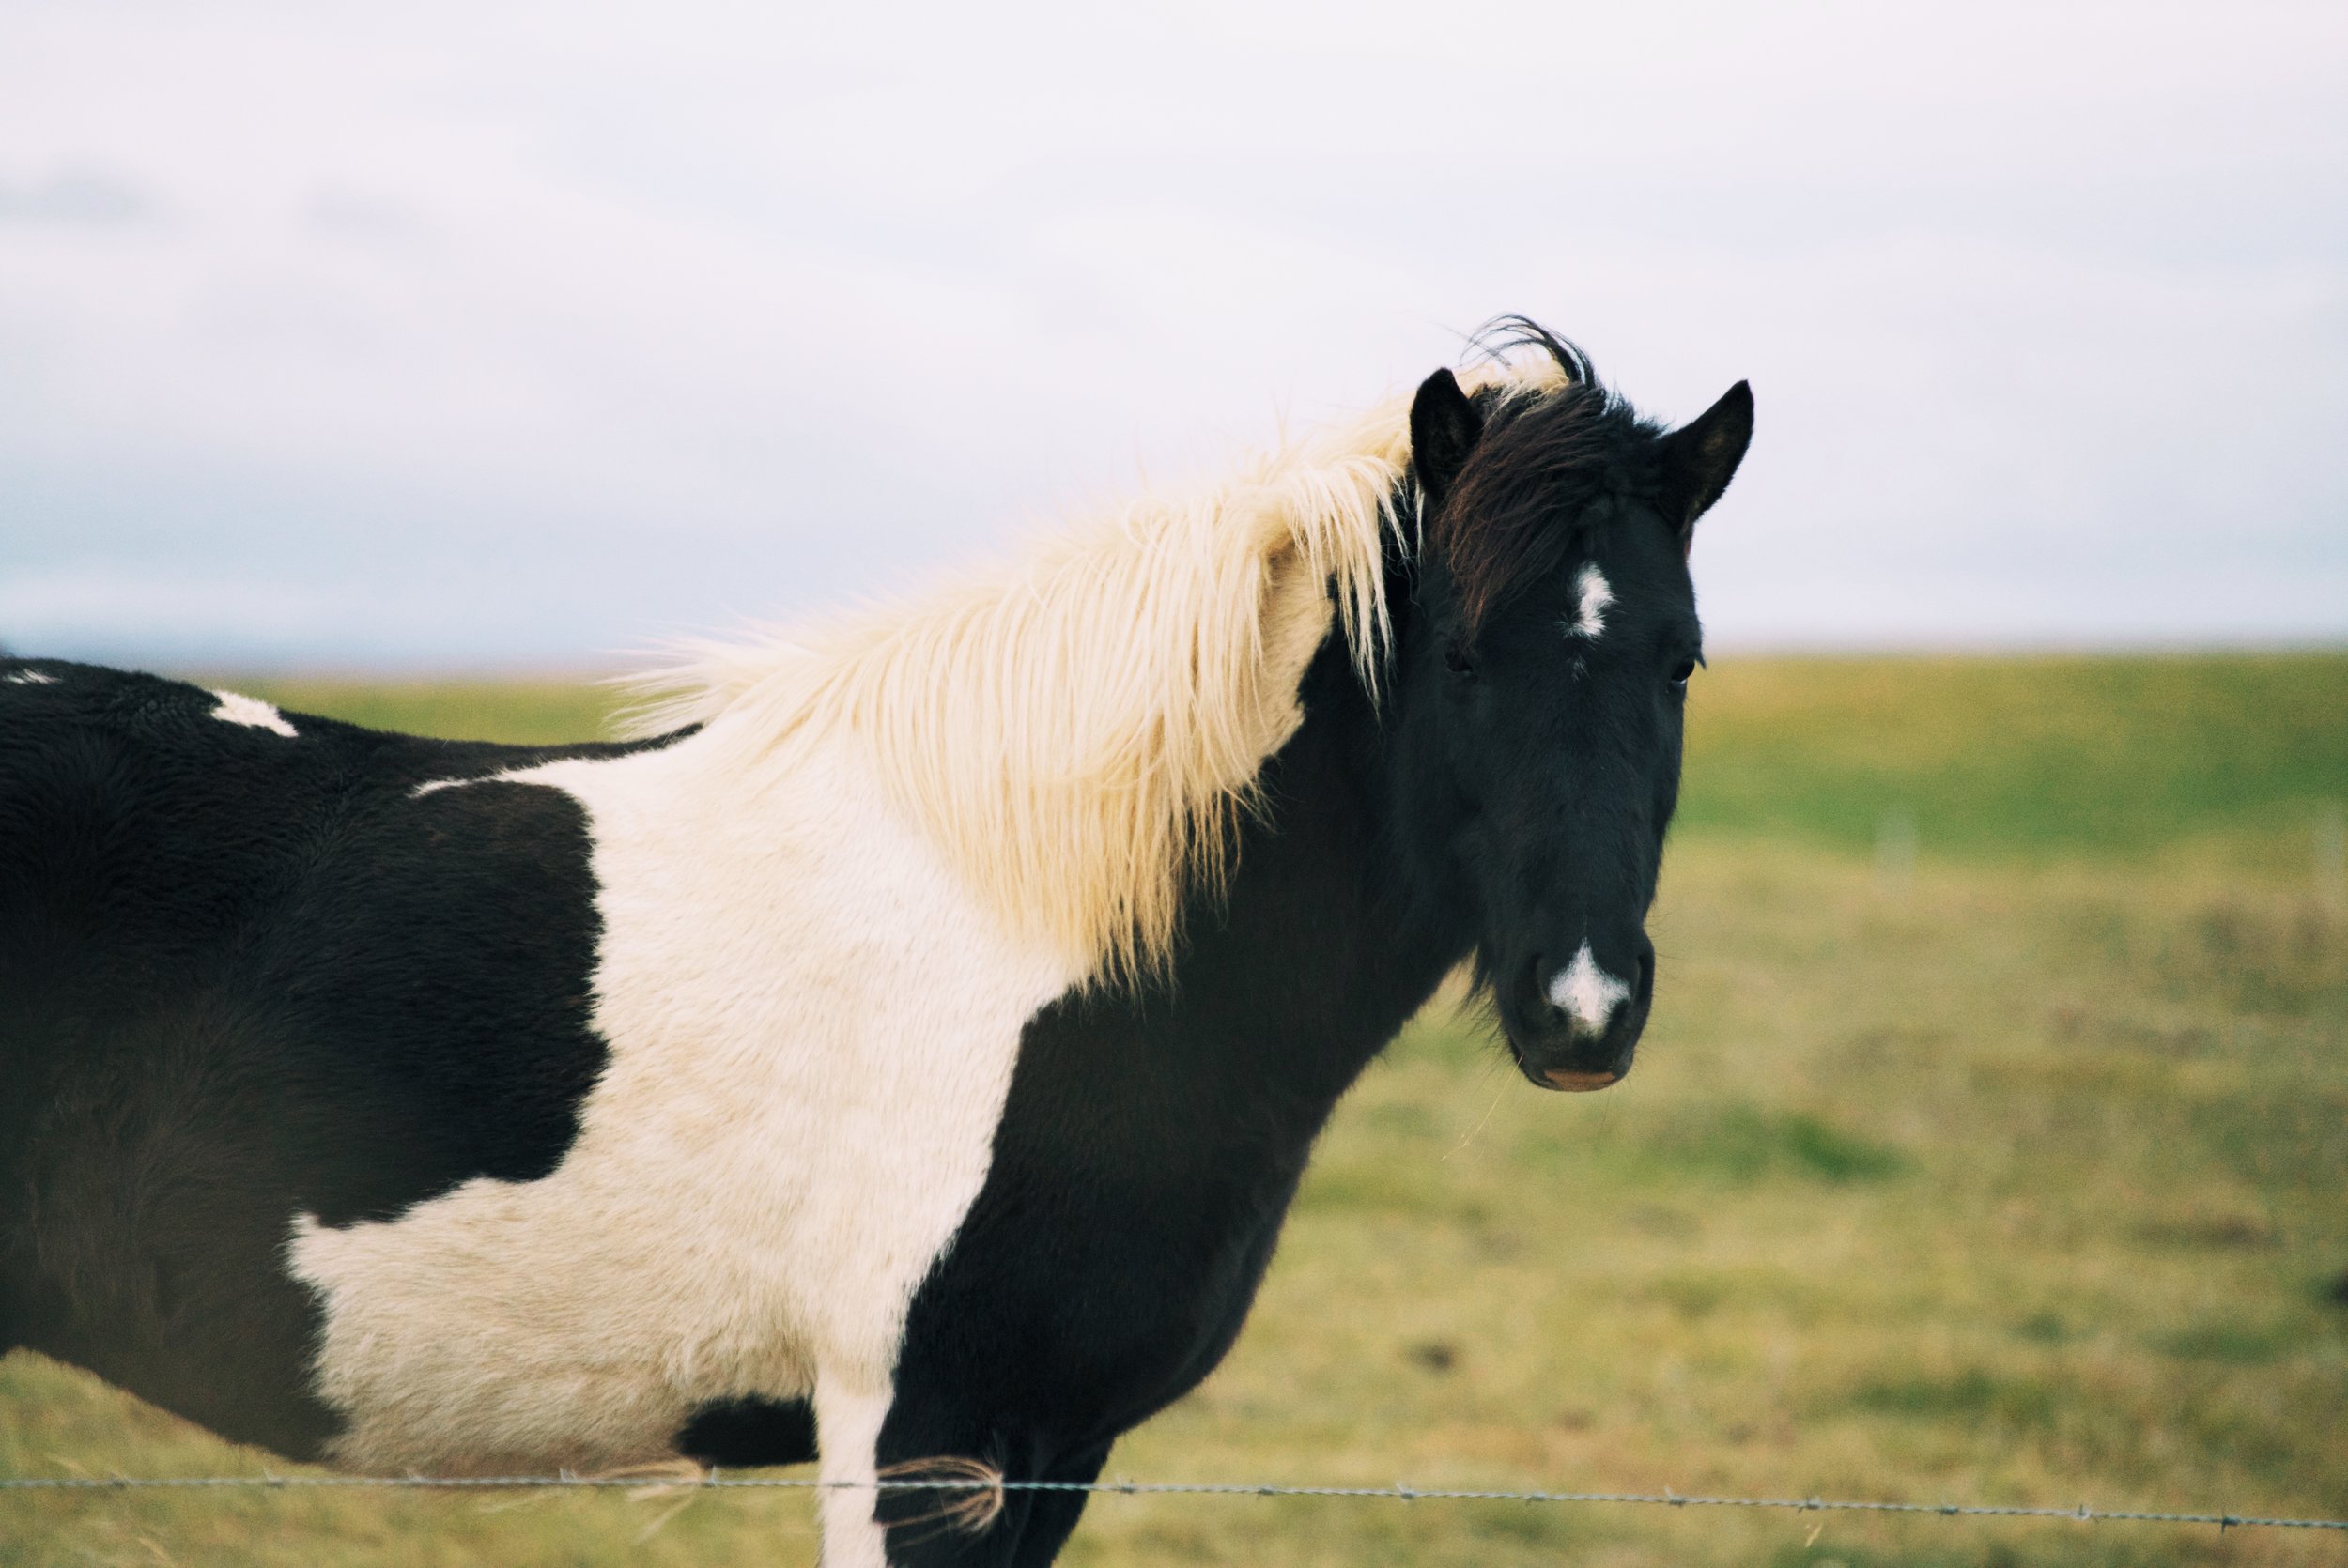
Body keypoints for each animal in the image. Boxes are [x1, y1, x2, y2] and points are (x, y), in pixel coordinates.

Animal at [0, 320, 1751, 1567]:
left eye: (1678, 661)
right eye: (1458, 655)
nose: (1583, 1008)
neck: (1037, 926)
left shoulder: (1043, 1448)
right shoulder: (923, 1433)